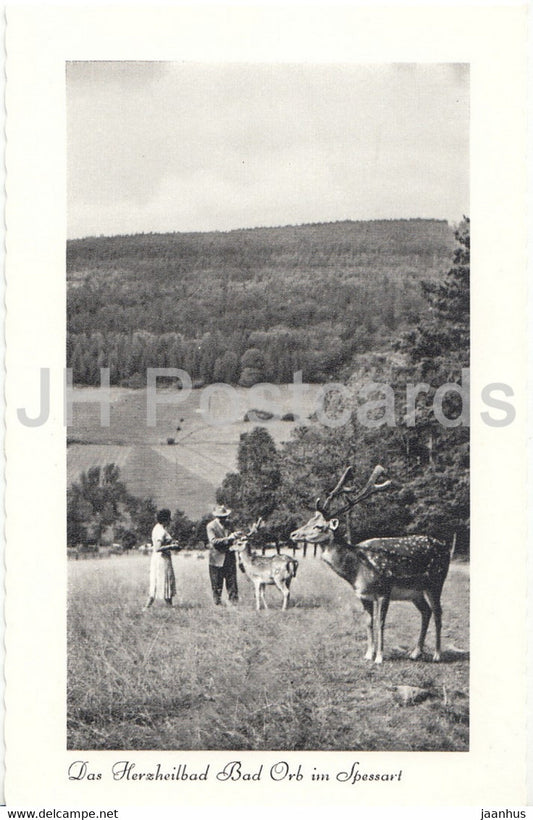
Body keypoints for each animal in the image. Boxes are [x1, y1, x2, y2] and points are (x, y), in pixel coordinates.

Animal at [290, 466, 453, 664]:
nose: (293, 534)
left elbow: (380, 623)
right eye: (309, 521)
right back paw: (415, 652)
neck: (358, 570)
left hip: (436, 581)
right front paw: (368, 654)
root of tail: (445, 546)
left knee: (438, 612)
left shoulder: (384, 590)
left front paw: (379, 657)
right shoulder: (363, 595)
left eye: (318, 526)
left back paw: (437, 654)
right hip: (415, 592)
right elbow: (368, 623)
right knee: (426, 612)